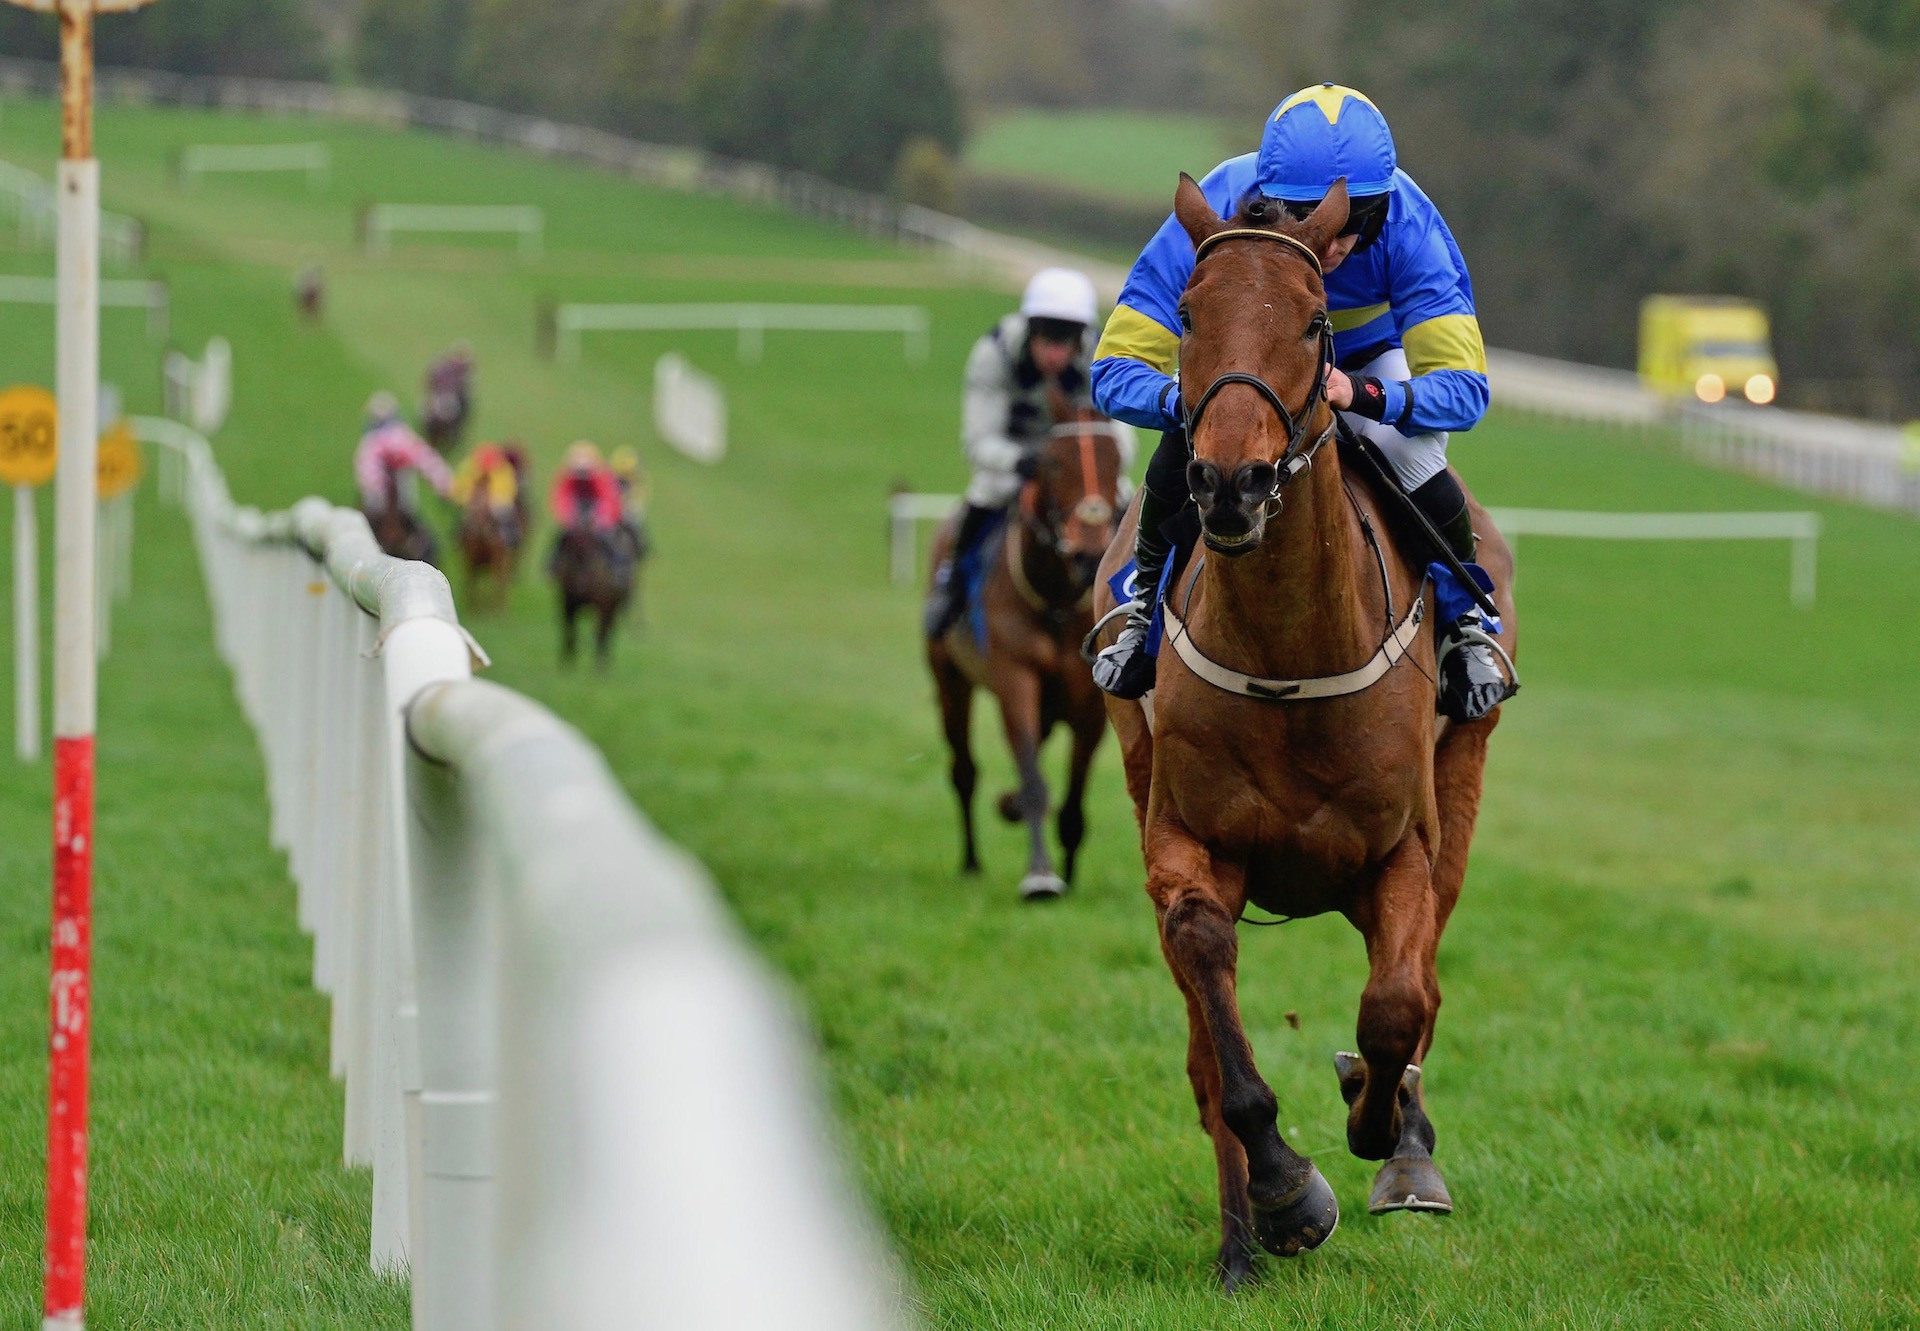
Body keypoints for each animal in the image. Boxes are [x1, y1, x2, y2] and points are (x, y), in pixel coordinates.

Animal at [925, 405, 1121, 898]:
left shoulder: (1090, 701)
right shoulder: (1015, 680)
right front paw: (1042, 875)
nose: (1089, 552)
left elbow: (1073, 799)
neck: (1055, 599)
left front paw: (1069, 873)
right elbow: (1033, 782)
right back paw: (971, 862)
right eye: (1053, 462)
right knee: (963, 771)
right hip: (950, 680)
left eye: (1114, 459)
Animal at [1090, 179, 1520, 1290]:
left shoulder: (1400, 851)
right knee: (1208, 1054)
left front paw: (1386, 1132)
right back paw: (1243, 1243)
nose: (1230, 483)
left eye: (1319, 321)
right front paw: (1286, 1193)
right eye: (1188, 312)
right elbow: (1219, 1035)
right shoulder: (1186, 842)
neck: (1290, 649)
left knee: (1423, 985)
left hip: (1462, 786)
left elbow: (1399, 1004)